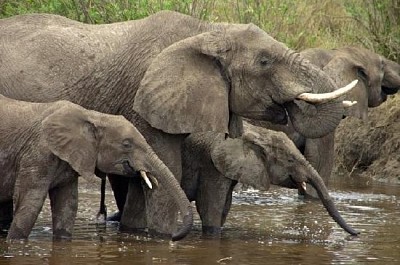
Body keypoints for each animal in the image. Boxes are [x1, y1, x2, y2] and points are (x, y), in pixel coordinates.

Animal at [0, 94, 192, 239]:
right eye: (126, 144)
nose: (174, 237)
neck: (93, 116)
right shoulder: (37, 154)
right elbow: (30, 202)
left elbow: (67, 206)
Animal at [181, 120, 360, 234]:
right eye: (290, 160)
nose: (357, 233)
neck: (256, 132)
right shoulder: (210, 165)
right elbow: (210, 209)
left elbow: (224, 208)